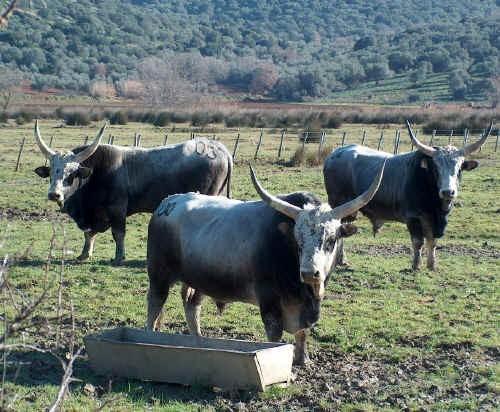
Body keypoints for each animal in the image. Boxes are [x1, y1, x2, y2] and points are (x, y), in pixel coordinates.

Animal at [33, 121, 232, 264]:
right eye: (51, 172)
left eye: (71, 173)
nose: (54, 194)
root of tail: (218, 148)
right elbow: (89, 233)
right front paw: (84, 254)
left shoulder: (117, 209)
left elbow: (118, 233)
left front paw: (119, 257)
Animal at [146, 164, 384, 364]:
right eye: (298, 240)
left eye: (331, 240)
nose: (309, 273)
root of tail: (167, 203)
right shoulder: (269, 300)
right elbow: (274, 333)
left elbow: (303, 332)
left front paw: (303, 359)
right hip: (159, 275)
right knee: (155, 305)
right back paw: (150, 336)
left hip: (199, 281)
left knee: (192, 306)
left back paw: (199, 342)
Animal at [324, 120, 492, 270]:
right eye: (436, 168)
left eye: (459, 168)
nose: (448, 192)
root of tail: (334, 154)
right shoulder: (413, 218)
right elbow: (418, 242)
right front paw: (416, 265)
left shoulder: (434, 221)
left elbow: (432, 242)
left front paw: (432, 265)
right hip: (341, 206)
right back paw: (342, 260)